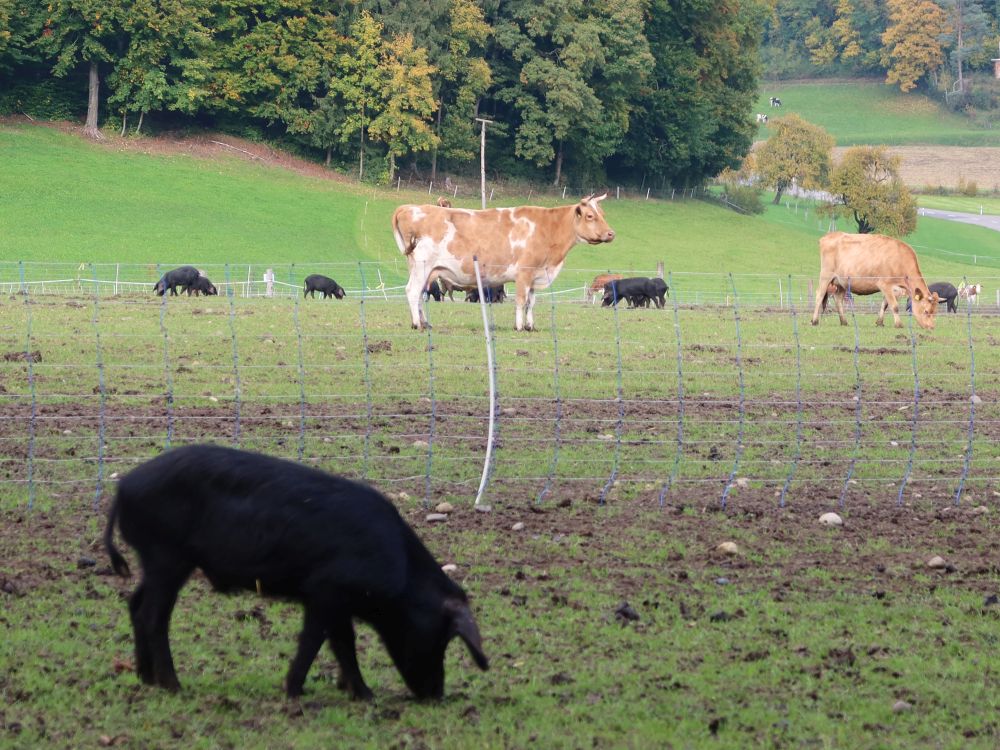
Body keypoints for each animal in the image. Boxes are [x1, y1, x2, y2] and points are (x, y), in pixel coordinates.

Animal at [104, 444, 488, 701]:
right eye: (443, 637)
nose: (436, 695)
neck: (400, 575)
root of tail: (123, 488)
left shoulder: (338, 601)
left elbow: (340, 642)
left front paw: (356, 693)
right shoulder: (326, 591)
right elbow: (319, 640)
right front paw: (300, 692)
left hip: (155, 561)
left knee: (135, 604)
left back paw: (146, 679)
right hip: (167, 556)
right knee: (154, 615)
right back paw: (174, 686)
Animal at [393, 194, 615, 331]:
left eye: (603, 214)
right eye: (590, 215)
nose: (611, 233)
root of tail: (409, 208)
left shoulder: (535, 276)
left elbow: (531, 302)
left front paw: (530, 326)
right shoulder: (524, 273)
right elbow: (520, 301)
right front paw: (519, 326)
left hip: (425, 270)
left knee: (420, 295)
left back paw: (425, 322)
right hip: (422, 265)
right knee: (412, 291)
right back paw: (417, 324)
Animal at [810, 232, 939, 330]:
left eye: (935, 312)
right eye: (926, 311)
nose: (931, 327)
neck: (900, 260)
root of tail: (829, 236)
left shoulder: (895, 289)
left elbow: (885, 305)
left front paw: (880, 322)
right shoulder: (884, 284)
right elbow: (894, 306)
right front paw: (899, 324)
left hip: (842, 282)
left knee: (838, 299)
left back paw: (844, 321)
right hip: (826, 275)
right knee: (819, 295)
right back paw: (814, 321)